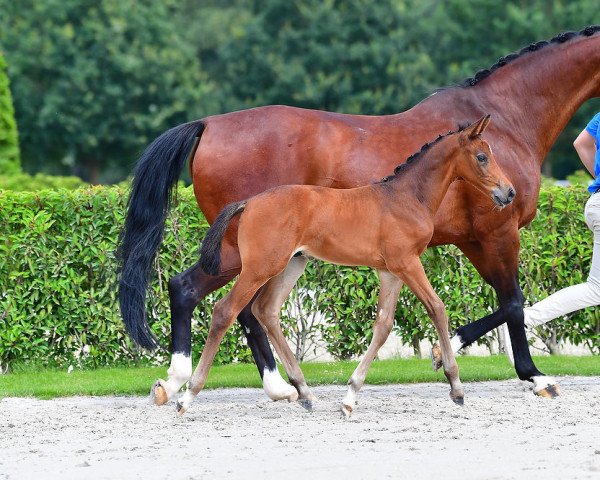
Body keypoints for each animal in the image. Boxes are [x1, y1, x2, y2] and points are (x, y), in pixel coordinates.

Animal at [176, 116, 512, 416]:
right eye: (482, 157)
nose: (508, 192)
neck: (406, 197)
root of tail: (249, 202)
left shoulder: (390, 271)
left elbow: (383, 325)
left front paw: (350, 397)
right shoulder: (407, 263)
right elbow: (437, 308)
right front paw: (456, 387)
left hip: (290, 265)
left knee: (265, 310)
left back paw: (304, 392)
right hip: (260, 267)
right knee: (225, 311)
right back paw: (187, 395)